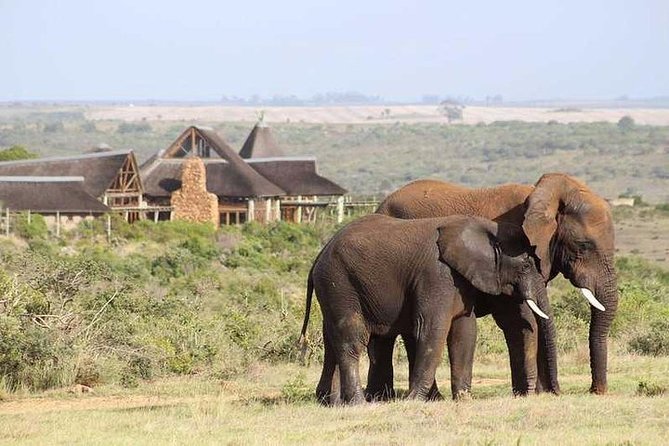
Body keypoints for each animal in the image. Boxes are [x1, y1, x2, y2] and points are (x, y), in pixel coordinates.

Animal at [299, 213, 550, 405]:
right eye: (526, 265)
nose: (528, 395)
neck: (480, 226)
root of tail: (318, 257)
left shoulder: (460, 280)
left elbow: (464, 332)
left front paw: (463, 400)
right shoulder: (436, 275)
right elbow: (431, 329)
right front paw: (414, 400)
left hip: (335, 289)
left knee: (331, 340)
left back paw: (331, 403)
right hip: (340, 283)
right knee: (351, 339)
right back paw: (358, 404)